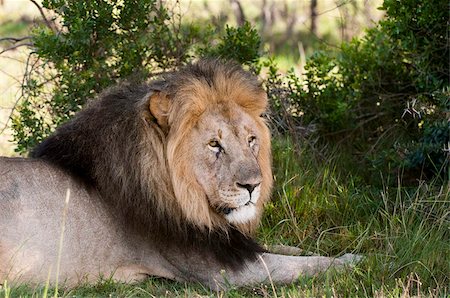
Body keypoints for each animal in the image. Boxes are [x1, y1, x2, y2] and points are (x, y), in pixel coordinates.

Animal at [0, 59, 358, 290]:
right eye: (214, 144)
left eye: (250, 140)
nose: (253, 186)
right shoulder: (222, 270)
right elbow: (306, 265)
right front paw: (356, 261)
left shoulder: (231, 243)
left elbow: (289, 249)